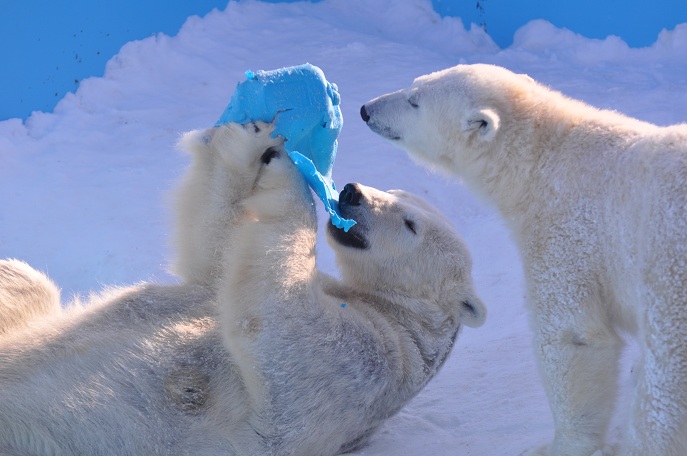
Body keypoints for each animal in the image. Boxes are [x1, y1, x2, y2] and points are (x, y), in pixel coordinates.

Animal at [0, 121, 486, 456]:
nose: (351, 192)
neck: (393, 311)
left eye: (410, 223)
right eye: (395, 188)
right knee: (32, 282)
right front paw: (248, 142)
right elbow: (215, 258)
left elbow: (281, 330)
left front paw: (289, 170)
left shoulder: (371, 366)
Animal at [362, 64, 687, 456]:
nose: (366, 109)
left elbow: (570, 334)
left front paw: (561, 445)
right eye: (416, 83)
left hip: (665, 255)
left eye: (415, 101)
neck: (543, 159)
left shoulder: (565, 234)